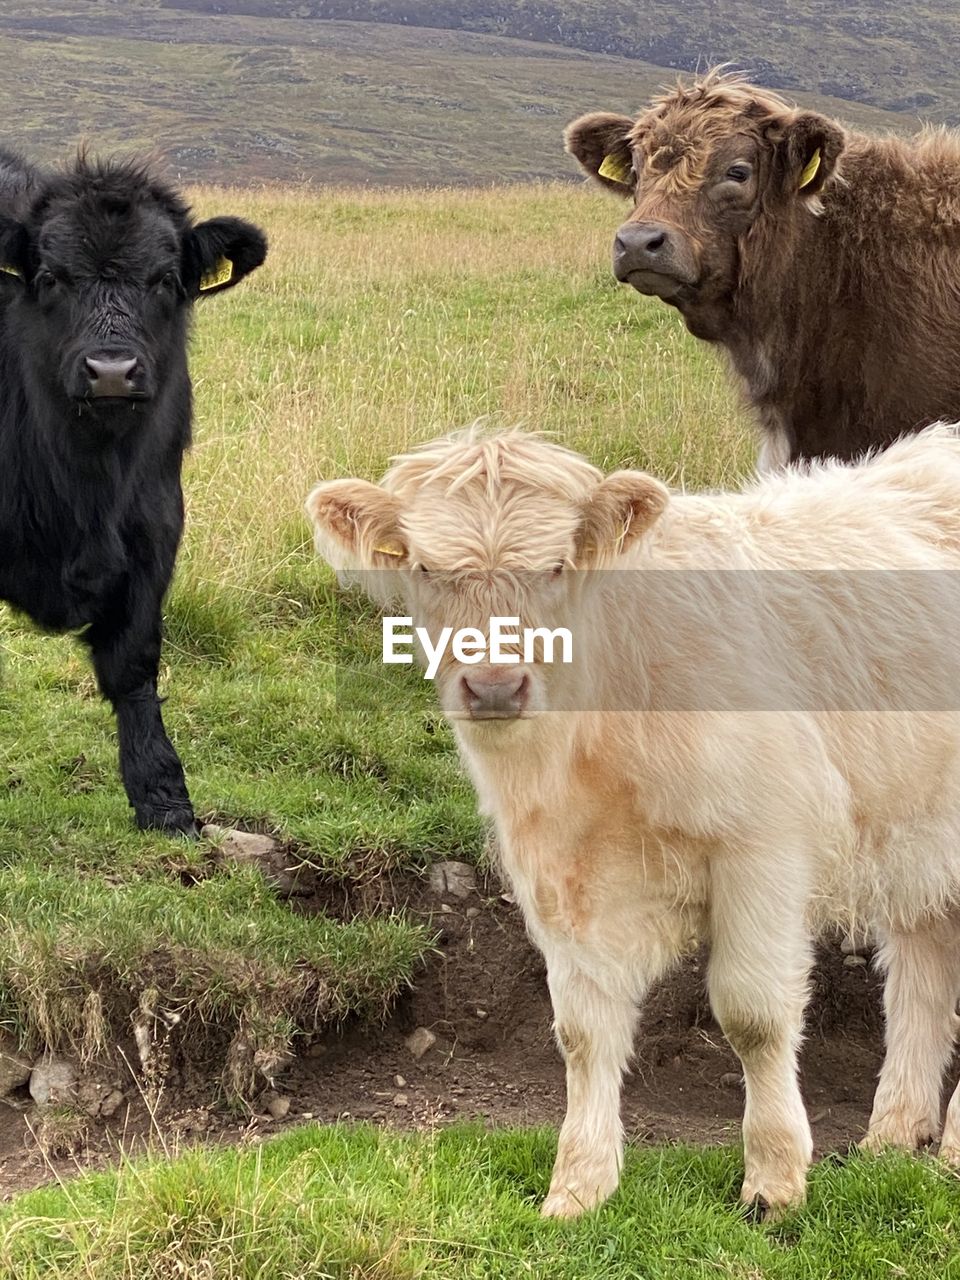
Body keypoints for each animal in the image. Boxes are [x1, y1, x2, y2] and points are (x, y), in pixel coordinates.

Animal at [0, 152, 267, 829]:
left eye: (165, 280)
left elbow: (134, 663)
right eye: (51, 278)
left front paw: (165, 800)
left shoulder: (155, 524)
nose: (112, 372)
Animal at [308, 424, 960, 1213]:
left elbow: (753, 1013)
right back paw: (894, 1135)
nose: (494, 686)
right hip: (920, 833)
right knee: (924, 972)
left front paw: (773, 1178)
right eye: (429, 568)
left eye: (556, 565)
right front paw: (578, 1188)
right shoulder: (558, 869)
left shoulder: (765, 845)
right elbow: (582, 1030)